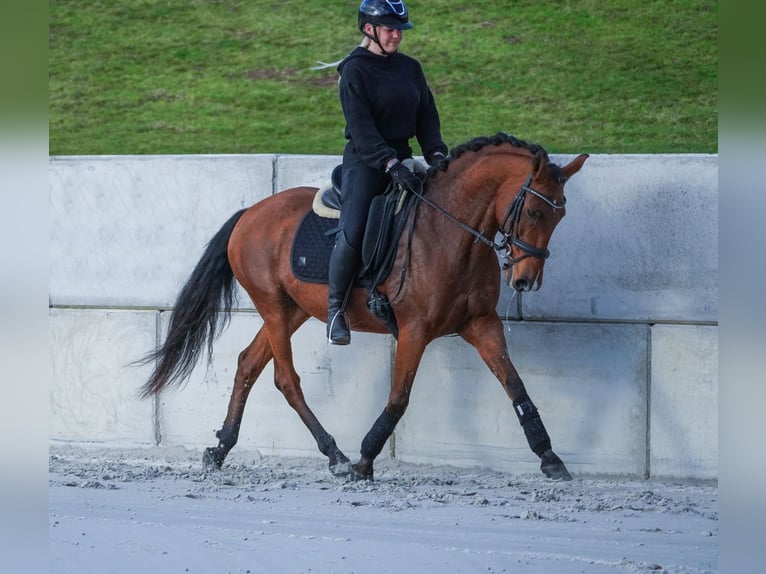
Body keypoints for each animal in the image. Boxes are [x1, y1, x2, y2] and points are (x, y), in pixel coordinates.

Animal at [141, 134, 592, 482]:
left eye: (561, 214)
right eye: (533, 210)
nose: (525, 280)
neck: (451, 232)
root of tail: (250, 213)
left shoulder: (481, 324)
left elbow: (516, 386)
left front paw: (550, 457)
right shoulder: (414, 329)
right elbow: (398, 398)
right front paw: (364, 460)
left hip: (291, 311)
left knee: (248, 363)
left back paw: (221, 448)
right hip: (272, 306)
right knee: (285, 380)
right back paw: (335, 455)